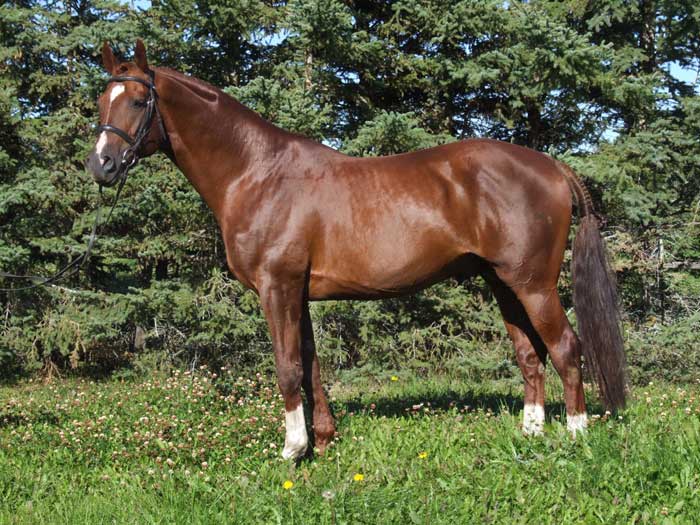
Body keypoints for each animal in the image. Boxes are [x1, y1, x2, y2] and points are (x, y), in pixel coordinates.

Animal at [86, 40, 627, 459]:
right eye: (101, 100)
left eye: (138, 100)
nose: (101, 166)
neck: (256, 172)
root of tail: (552, 167)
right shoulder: (297, 292)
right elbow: (309, 365)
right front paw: (323, 441)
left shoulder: (276, 287)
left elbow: (287, 368)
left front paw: (292, 450)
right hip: (503, 283)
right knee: (529, 354)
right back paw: (531, 432)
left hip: (533, 284)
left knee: (565, 348)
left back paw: (577, 436)